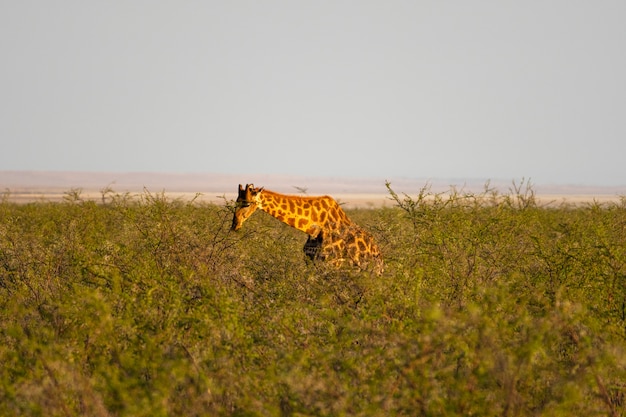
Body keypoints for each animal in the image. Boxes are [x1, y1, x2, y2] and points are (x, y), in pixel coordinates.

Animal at [232, 183, 382, 272]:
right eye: (236, 202)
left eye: (247, 204)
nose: (235, 225)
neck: (315, 227)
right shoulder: (310, 260)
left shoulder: (333, 263)